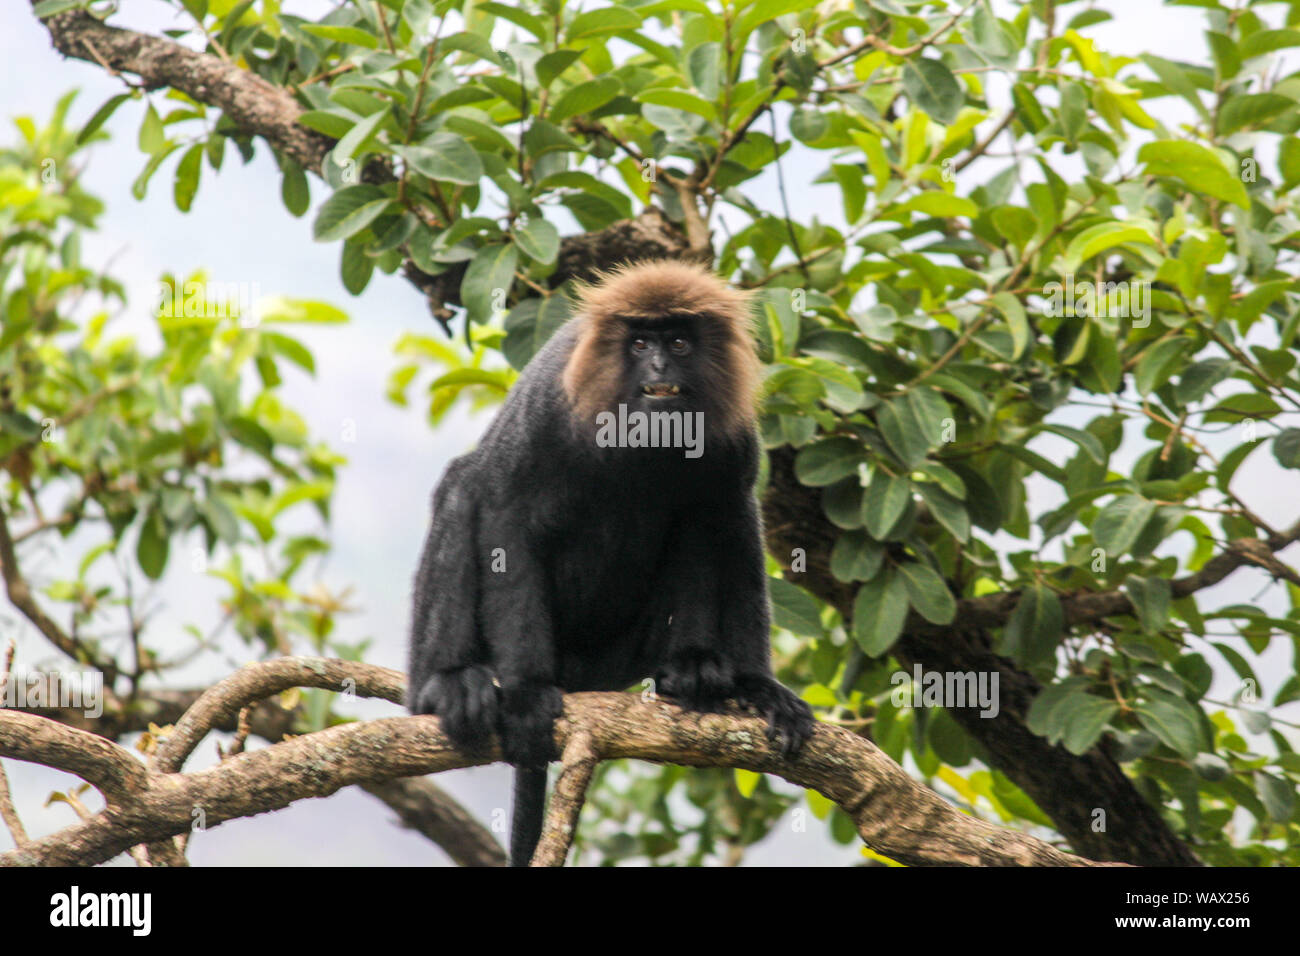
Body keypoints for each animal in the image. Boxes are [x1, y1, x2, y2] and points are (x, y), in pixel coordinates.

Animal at [408, 261, 811, 868]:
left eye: (678, 342)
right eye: (640, 343)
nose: (659, 366)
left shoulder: (734, 440)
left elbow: (730, 521)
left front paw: (755, 686)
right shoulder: (548, 404)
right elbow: (502, 510)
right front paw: (526, 695)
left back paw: (689, 671)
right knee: (463, 488)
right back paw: (447, 686)